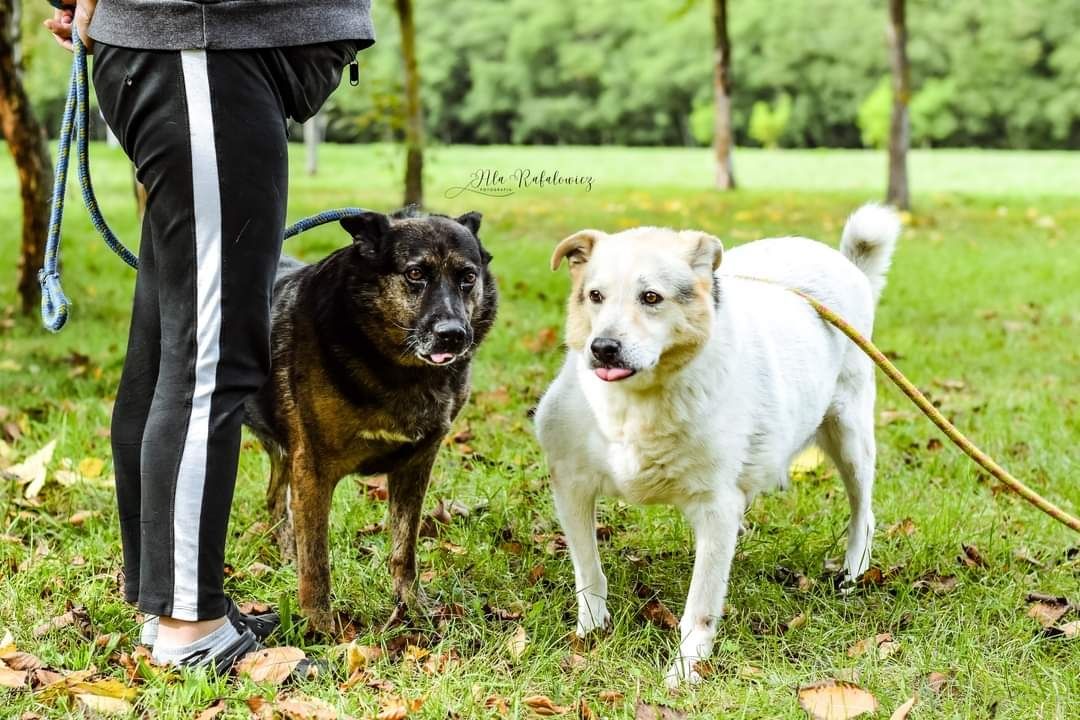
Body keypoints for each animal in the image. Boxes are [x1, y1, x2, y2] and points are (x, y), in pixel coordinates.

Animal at [245, 205, 496, 634]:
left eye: (467, 277)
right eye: (415, 274)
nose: (452, 335)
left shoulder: (416, 463)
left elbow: (404, 547)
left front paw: (412, 607)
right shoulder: (312, 469)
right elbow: (317, 563)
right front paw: (321, 629)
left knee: (276, 499)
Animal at [535, 202, 898, 686]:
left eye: (651, 298)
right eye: (595, 295)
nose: (603, 348)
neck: (636, 405)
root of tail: (843, 262)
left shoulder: (715, 506)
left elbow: (702, 604)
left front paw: (687, 668)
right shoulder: (571, 484)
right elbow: (588, 571)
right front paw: (590, 633)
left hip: (850, 434)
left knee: (864, 511)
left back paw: (854, 571)